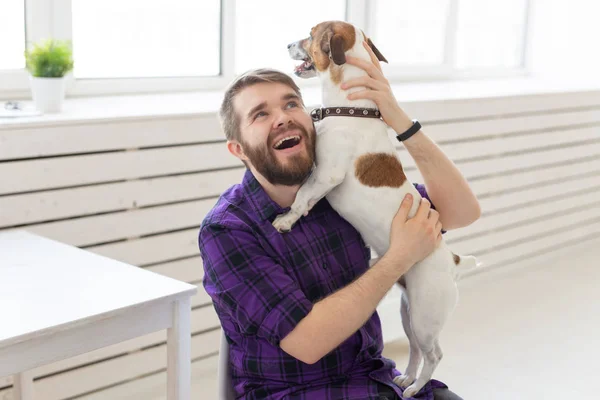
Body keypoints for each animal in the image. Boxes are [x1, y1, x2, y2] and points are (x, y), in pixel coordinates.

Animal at [272, 21, 478, 396]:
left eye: (310, 34)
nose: (287, 43)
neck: (349, 108)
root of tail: (454, 261)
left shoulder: (328, 173)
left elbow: (302, 196)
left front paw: (287, 220)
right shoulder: (319, 172)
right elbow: (306, 193)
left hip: (425, 315)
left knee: (434, 354)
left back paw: (415, 388)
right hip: (409, 313)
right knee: (414, 349)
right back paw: (407, 378)